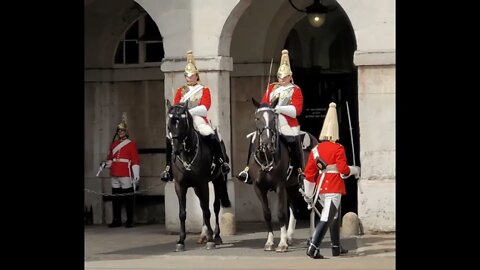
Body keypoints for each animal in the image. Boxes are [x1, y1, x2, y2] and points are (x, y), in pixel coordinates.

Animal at [167, 99, 231, 251]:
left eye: (183, 122)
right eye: (170, 124)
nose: (176, 150)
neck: (188, 153)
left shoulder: (203, 184)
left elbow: (208, 211)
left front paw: (211, 240)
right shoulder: (180, 186)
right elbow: (182, 213)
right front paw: (180, 241)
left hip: (218, 180)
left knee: (215, 206)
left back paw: (216, 235)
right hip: (196, 188)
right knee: (203, 207)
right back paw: (205, 234)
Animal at [248, 98, 318, 252]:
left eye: (273, 118)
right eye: (257, 118)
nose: (267, 143)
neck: (266, 157)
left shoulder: (279, 186)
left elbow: (280, 213)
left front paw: (282, 243)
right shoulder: (258, 188)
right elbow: (267, 214)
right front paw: (270, 242)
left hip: (308, 184)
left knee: (311, 206)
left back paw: (311, 237)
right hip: (292, 186)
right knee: (294, 209)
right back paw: (290, 236)